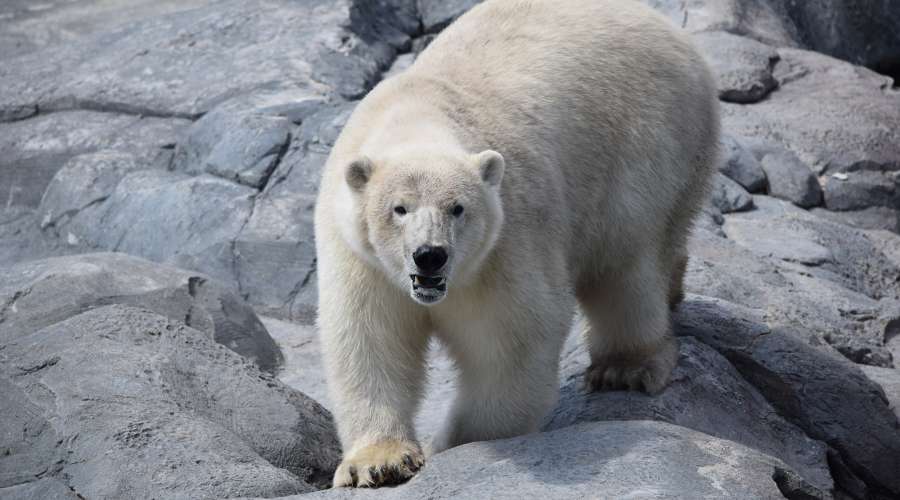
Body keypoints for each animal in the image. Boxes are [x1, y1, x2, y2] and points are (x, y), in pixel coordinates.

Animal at [314, 0, 719, 488]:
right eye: (399, 208)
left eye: (458, 208)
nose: (430, 257)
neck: (414, 115)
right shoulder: (362, 257)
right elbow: (370, 340)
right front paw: (379, 462)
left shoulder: (506, 241)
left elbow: (512, 341)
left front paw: (452, 442)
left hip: (645, 146)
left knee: (626, 266)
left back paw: (625, 366)